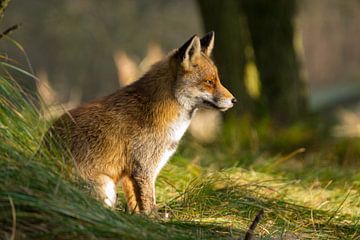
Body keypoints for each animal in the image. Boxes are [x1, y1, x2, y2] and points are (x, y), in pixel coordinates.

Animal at [44, 31, 236, 214]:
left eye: (217, 80)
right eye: (209, 82)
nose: (234, 100)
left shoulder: (131, 175)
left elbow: (136, 206)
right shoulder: (144, 169)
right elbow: (150, 206)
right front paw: (155, 221)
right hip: (105, 186)